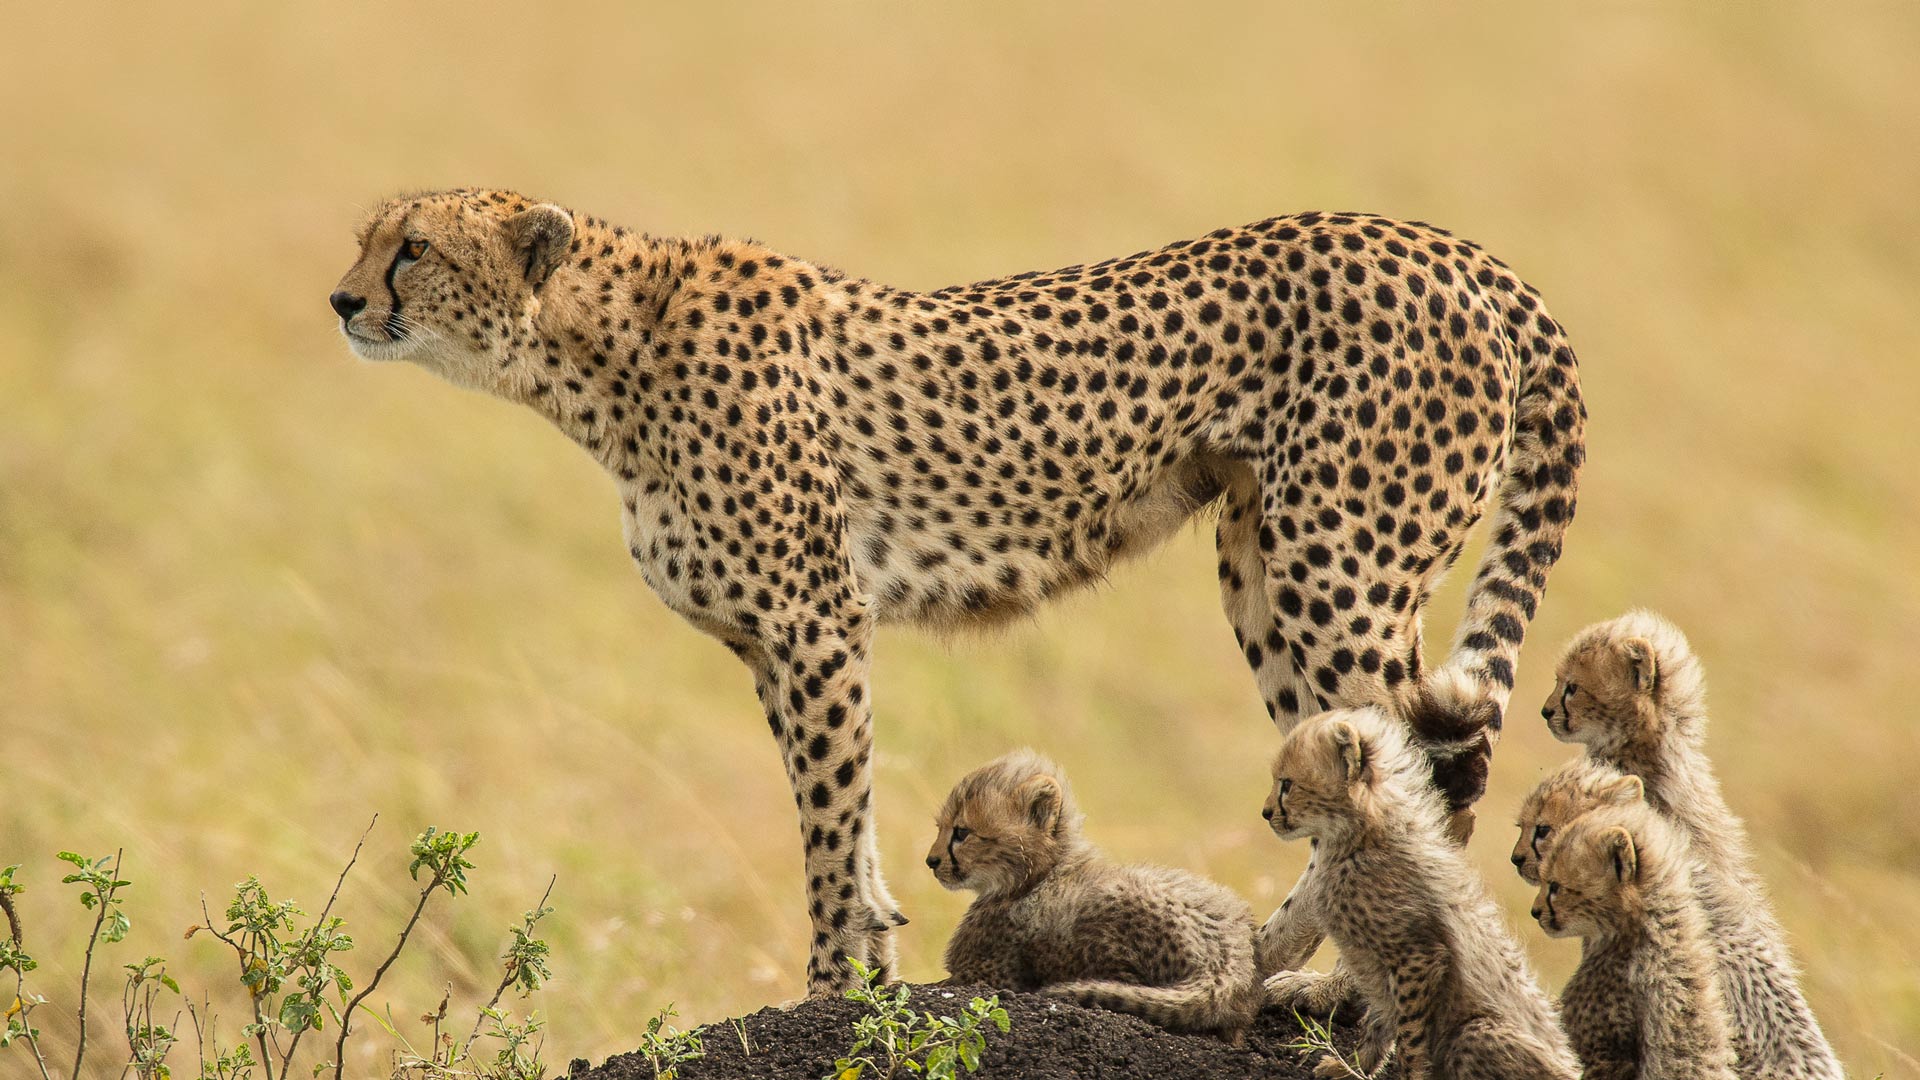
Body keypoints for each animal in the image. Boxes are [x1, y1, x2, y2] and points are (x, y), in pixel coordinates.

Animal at [334, 187, 1589, 991]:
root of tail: (1454, 247)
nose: (342, 302)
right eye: (367, 242)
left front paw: (838, 985)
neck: (601, 355)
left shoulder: (815, 621)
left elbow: (829, 817)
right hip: (1261, 564)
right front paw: (874, 954)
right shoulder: (778, 643)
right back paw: (1268, 963)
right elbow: (840, 815)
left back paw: (1332, 986)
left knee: (1424, 775)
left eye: (412, 249)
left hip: (1339, 565)